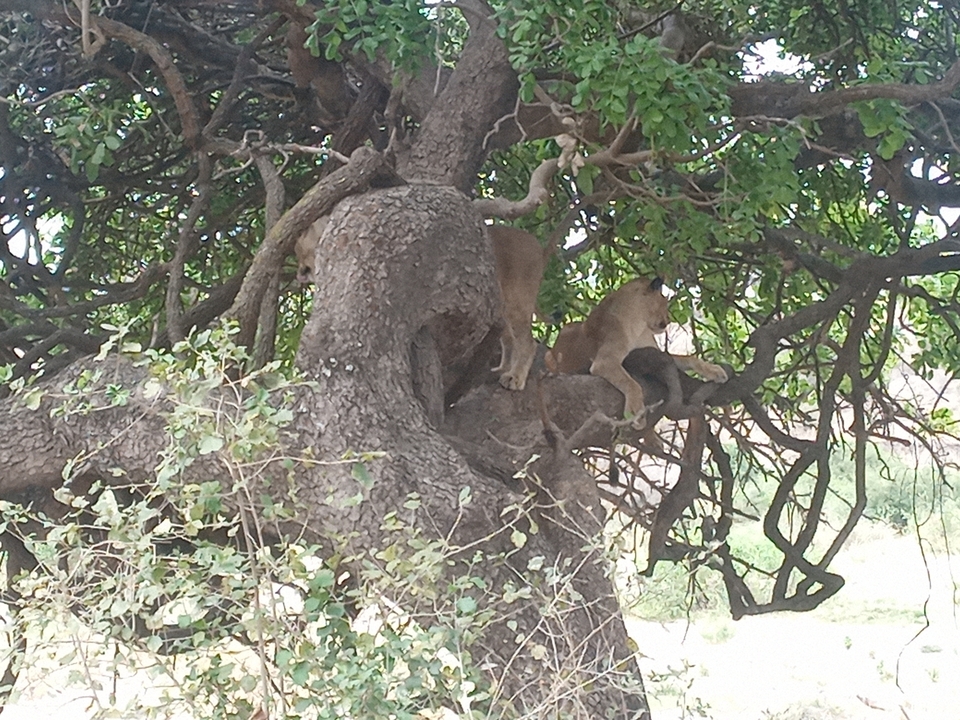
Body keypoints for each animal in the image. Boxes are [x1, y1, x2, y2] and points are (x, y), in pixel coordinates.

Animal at [545, 277, 728, 425]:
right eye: (664, 304)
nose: (668, 321)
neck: (638, 324)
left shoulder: (654, 351)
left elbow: (690, 358)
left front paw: (715, 370)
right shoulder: (604, 362)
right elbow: (632, 383)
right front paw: (635, 412)